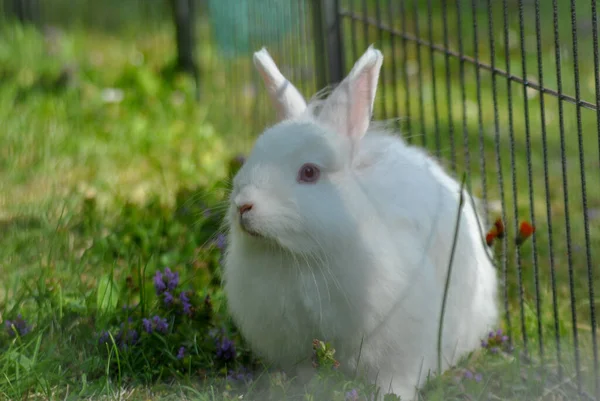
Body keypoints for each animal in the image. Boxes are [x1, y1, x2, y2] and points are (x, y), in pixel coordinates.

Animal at [223, 45, 500, 398]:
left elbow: (397, 379)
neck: (299, 257)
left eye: (309, 172)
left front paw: (392, 396)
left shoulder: (400, 347)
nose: (243, 205)